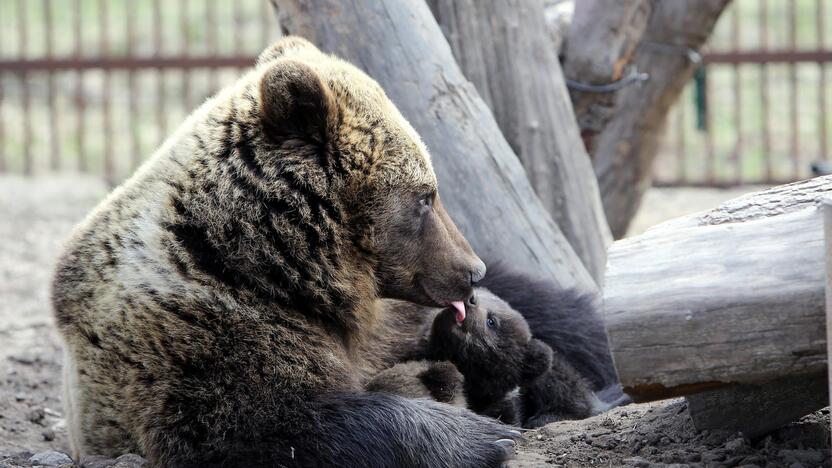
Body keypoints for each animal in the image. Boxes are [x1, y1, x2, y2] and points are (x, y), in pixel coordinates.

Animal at [48, 37, 516, 468]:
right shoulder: (197, 341)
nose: (473, 270)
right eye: (425, 197)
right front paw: (483, 435)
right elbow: (274, 426)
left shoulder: (381, 326)